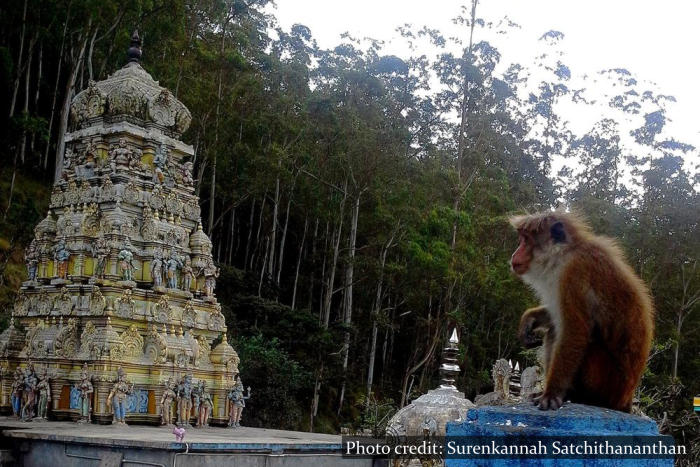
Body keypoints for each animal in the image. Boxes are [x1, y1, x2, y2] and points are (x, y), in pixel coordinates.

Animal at [512, 212, 652, 414]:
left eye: (526, 240)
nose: (515, 254)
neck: (564, 254)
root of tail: (625, 400)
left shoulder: (574, 273)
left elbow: (574, 332)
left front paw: (551, 393)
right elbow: (556, 314)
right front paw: (529, 319)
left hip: (607, 384)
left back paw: (579, 396)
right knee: (554, 330)